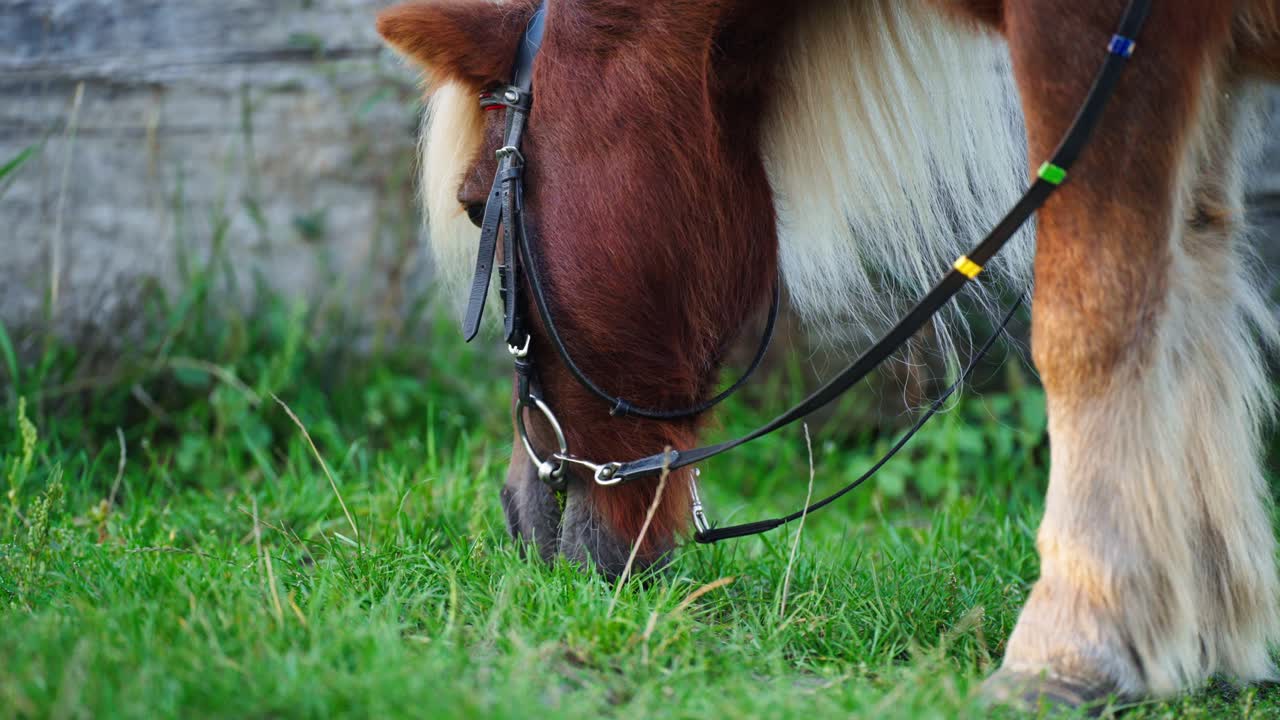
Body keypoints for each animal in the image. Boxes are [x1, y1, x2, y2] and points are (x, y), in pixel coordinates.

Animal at [376, 0, 1280, 708]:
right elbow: (1189, 307)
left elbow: (1095, 320)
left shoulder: (1099, 39)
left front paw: (1074, 646)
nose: (521, 518)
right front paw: (1204, 630)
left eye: (475, 206)